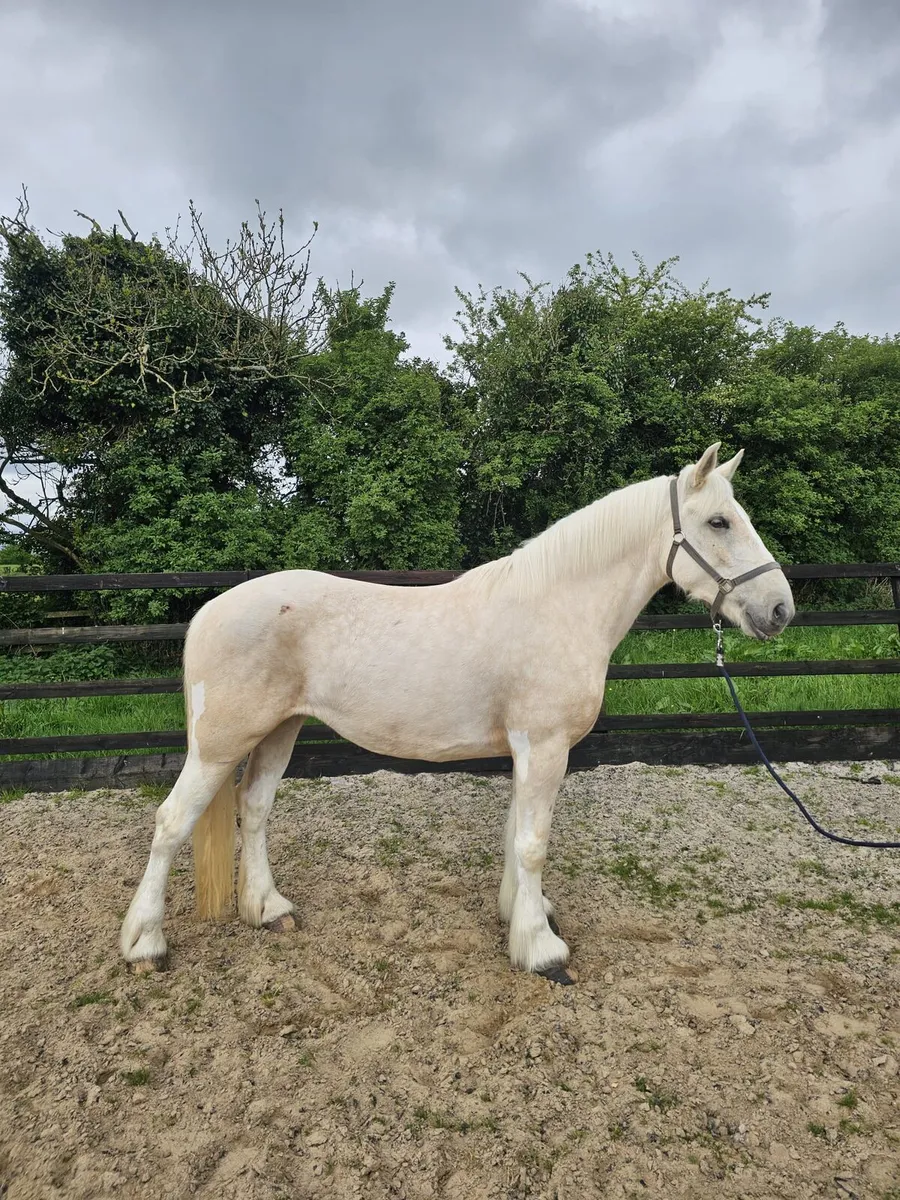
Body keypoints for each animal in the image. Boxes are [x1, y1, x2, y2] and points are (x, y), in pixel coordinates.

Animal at [120, 443, 794, 983]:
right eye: (719, 521)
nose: (780, 609)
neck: (557, 606)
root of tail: (210, 610)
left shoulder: (529, 749)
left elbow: (515, 834)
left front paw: (521, 917)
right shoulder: (545, 746)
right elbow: (533, 843)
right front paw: (543, 952)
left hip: (279, 730)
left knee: (254, 809)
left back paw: (270, 910)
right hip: (221, 742)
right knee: (172, 821)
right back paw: (145, 944)